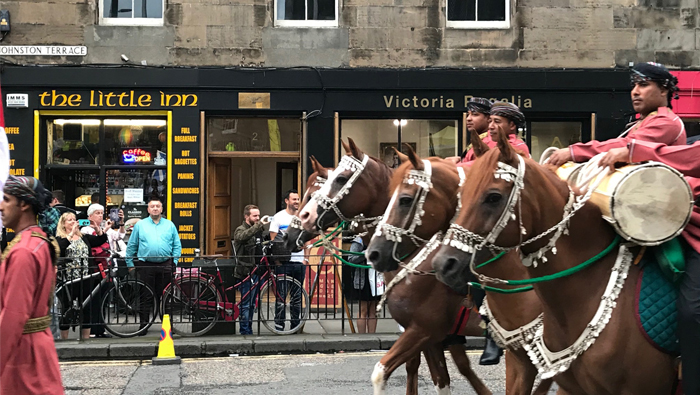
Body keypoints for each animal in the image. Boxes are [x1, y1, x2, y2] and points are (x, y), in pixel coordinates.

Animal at [366, 142, 552, 395]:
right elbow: (442, 377)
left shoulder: (422, 330)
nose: (374, 254)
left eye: (405, 199)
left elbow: (381, 372)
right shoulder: (433, 336)